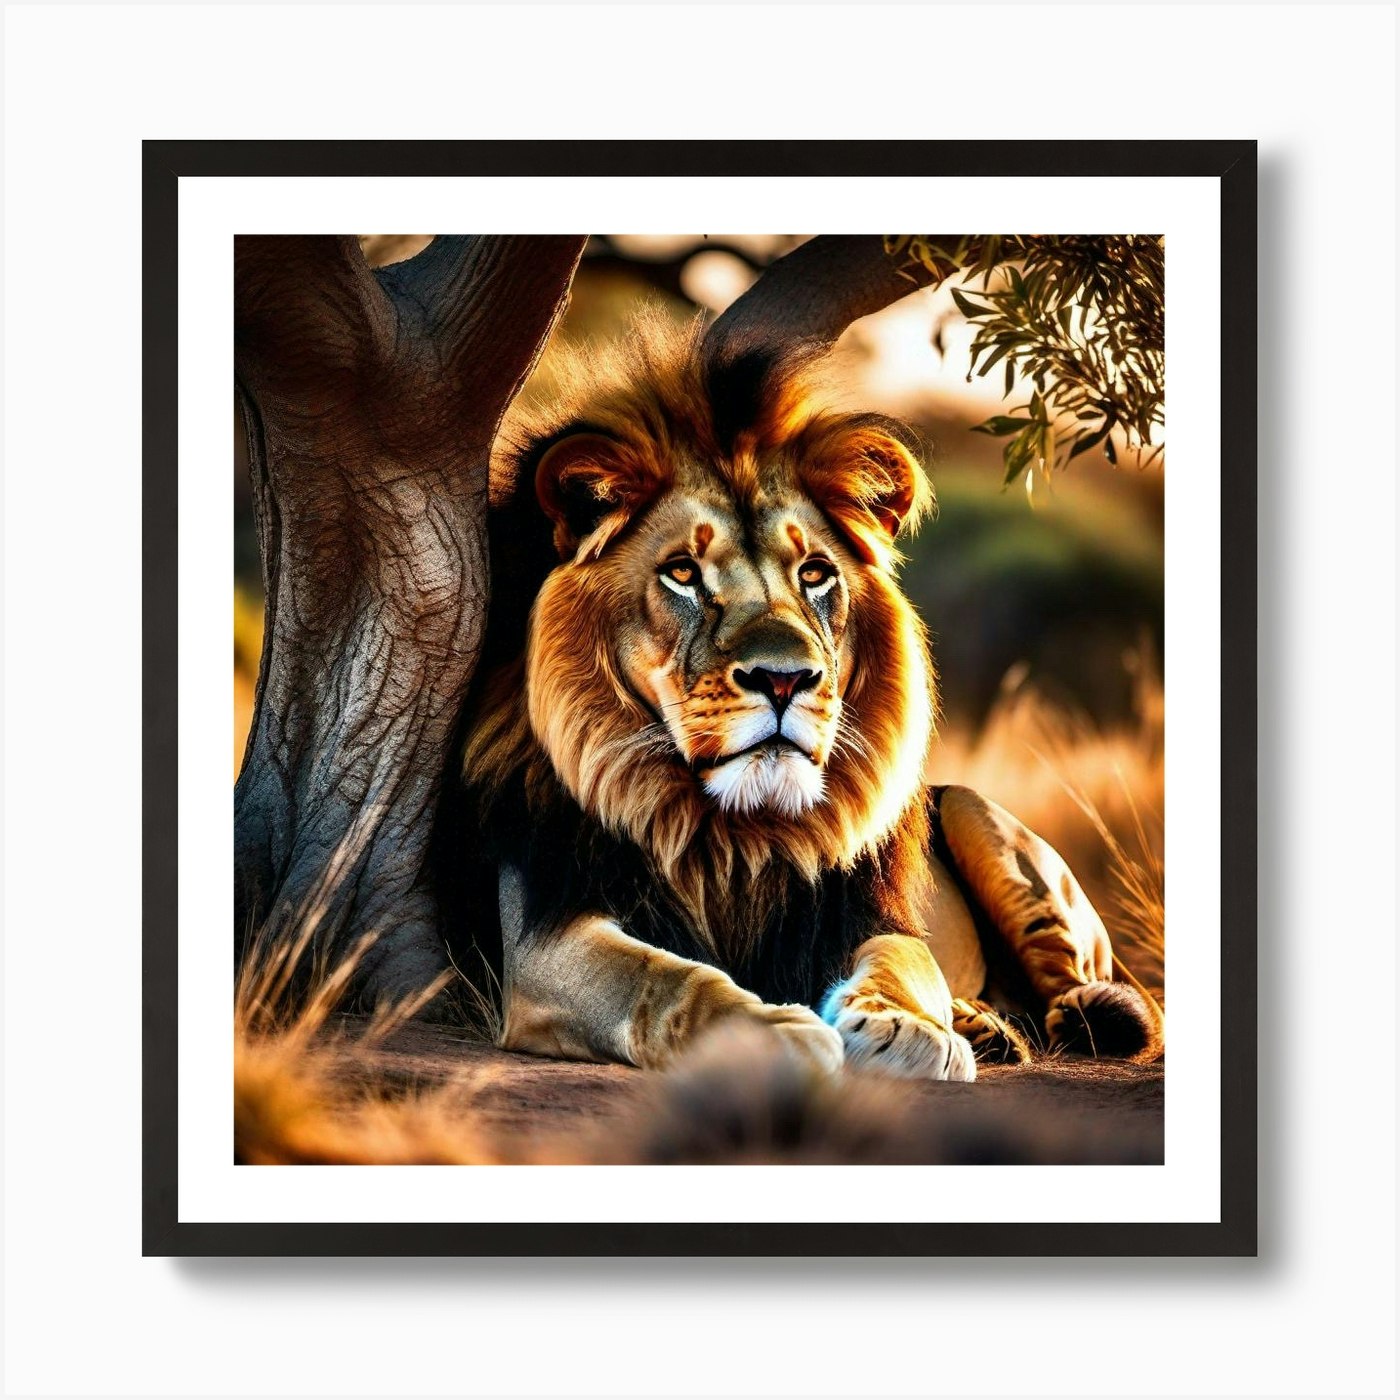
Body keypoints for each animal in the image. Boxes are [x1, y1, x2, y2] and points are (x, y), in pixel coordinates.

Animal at [453, 311, 1162, 1080]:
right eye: (682, 573)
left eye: (816, 573)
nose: (784, 679)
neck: (734, 837)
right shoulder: (546, 939)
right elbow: (662, 979)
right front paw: (762, 1031)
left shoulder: (867, 915)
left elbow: (904, 964)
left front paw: (906, 1028)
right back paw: (985, 1024)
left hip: (977, 814)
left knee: (1102, 996)